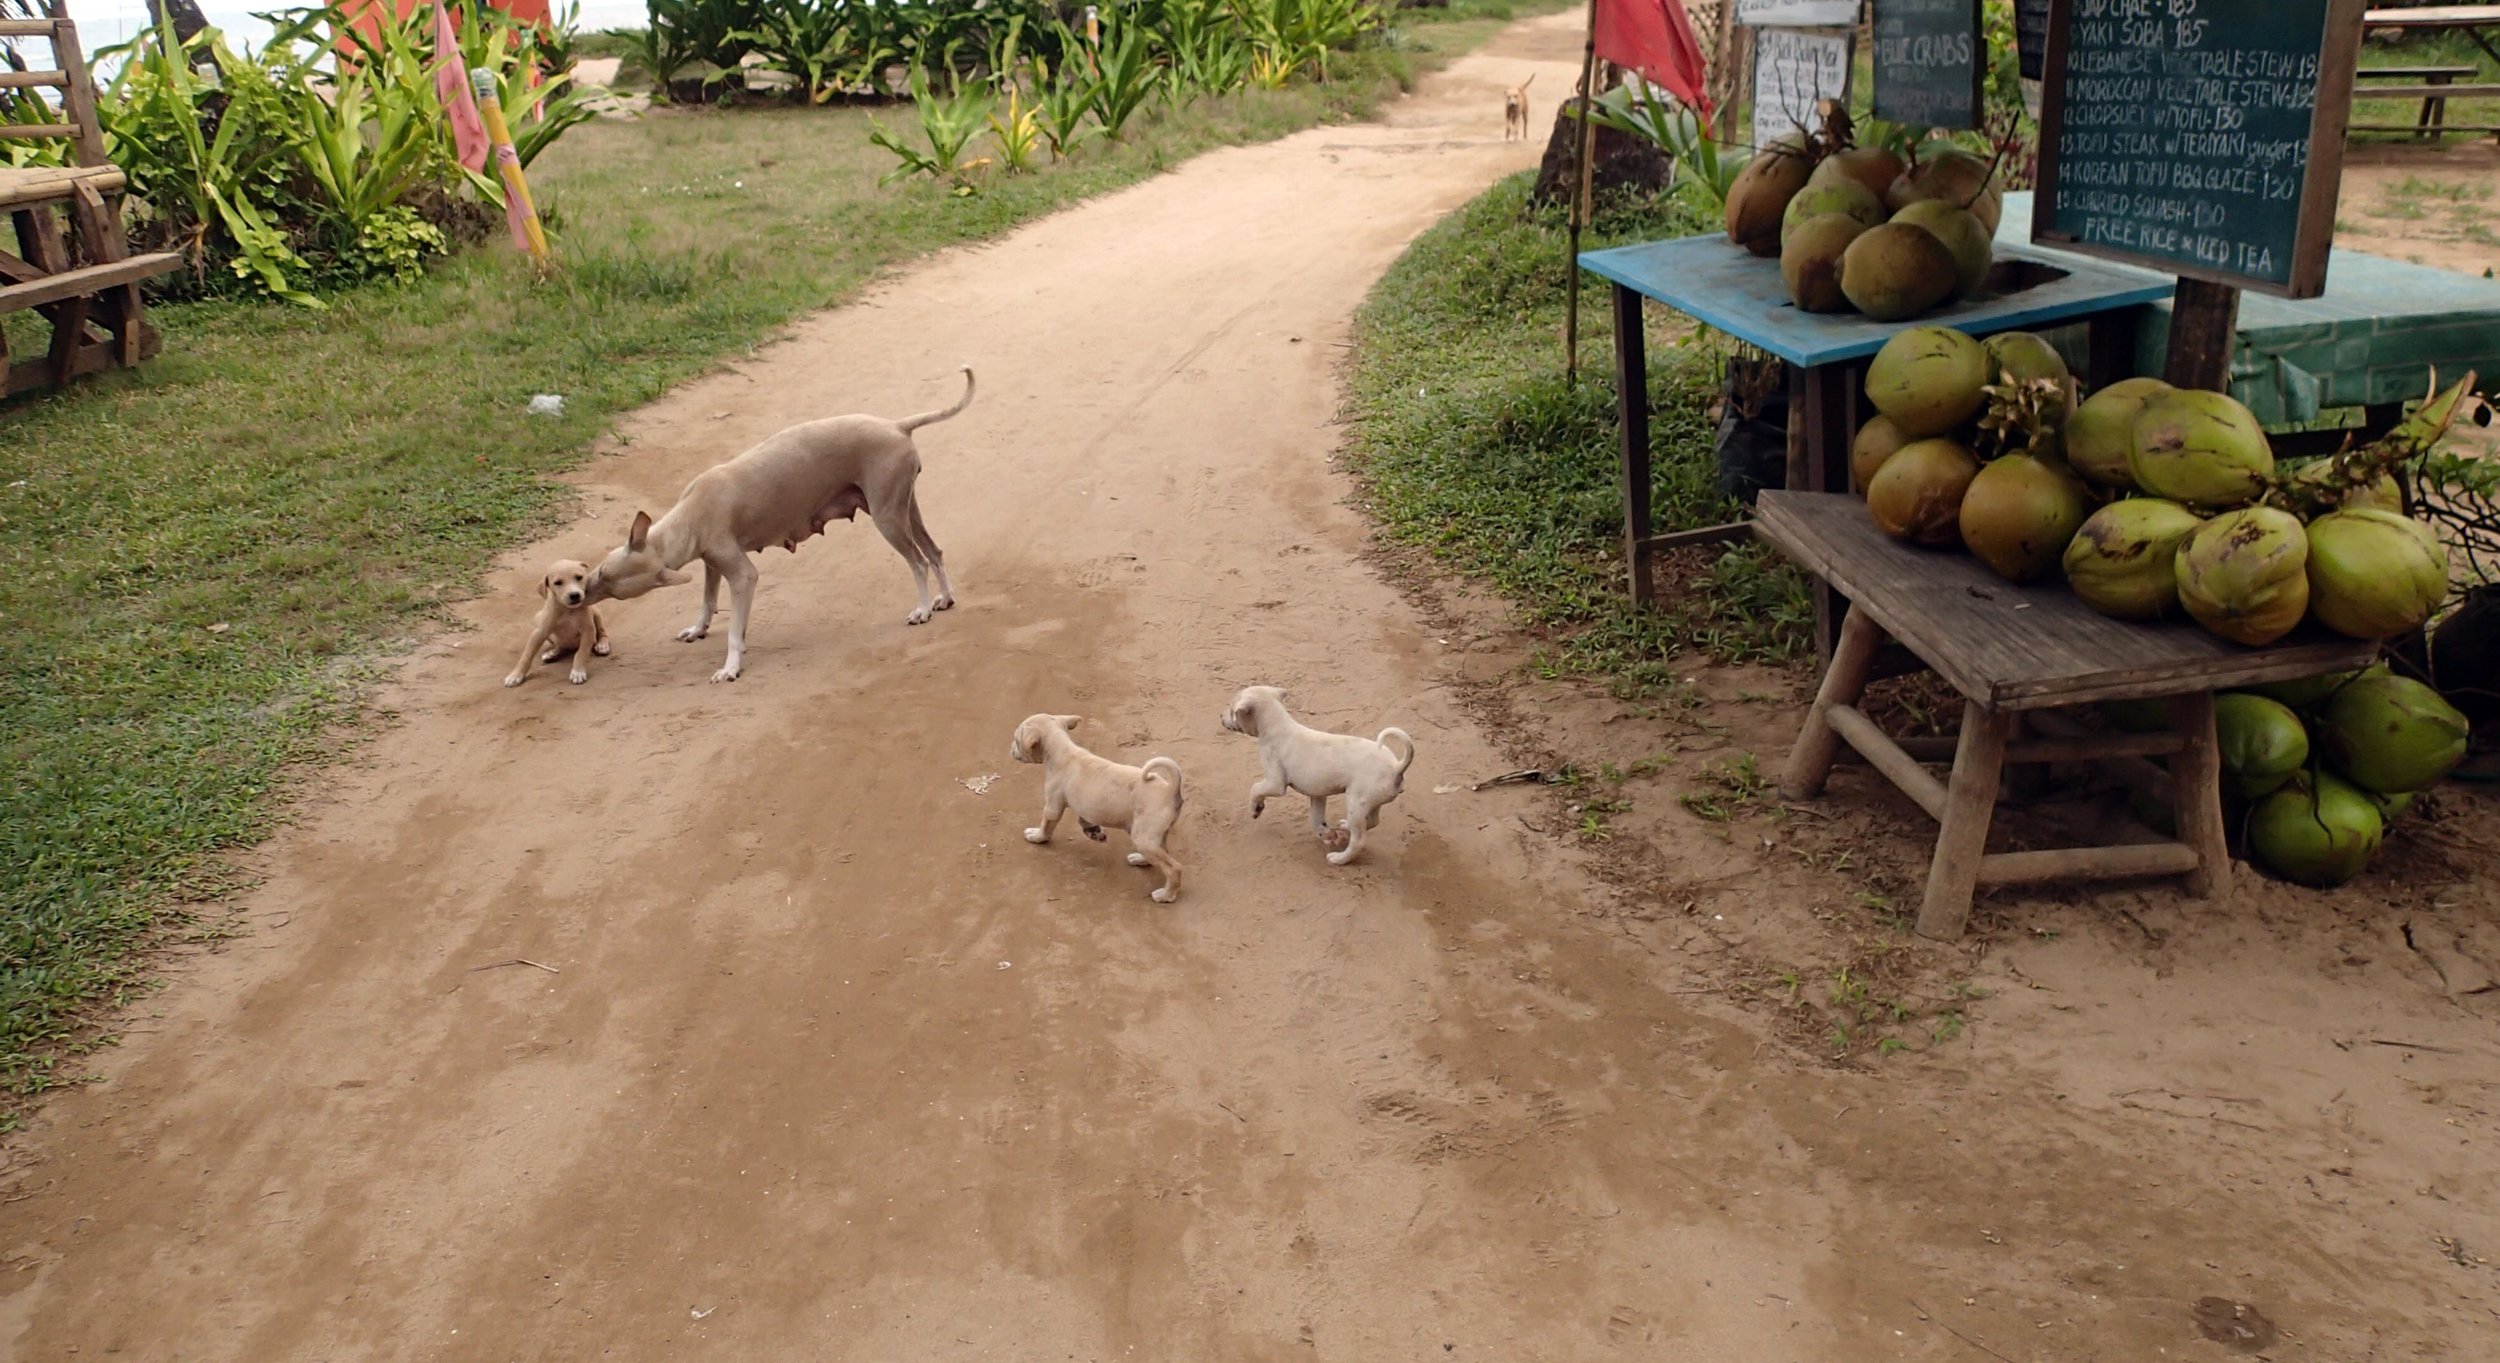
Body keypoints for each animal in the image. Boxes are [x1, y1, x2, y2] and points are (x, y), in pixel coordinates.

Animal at [502, 555, 610, 685]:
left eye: (579, 577)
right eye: (558, 583)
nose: (575, 595)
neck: (567, 609)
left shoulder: (588, 631)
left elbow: (581, 653)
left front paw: (578, 672)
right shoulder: (539, 631)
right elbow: (526, 655)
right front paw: (515, 675)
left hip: (596, 613)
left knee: (602, 632)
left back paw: (602, 645)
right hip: (538, 618)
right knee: (560, 645)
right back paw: (552, 654)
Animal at [587, 367, 975, 680]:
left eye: (607, 579)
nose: (579, 594)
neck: (688, 514)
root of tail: (897, 425)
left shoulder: (742, 573)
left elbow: (734, 629)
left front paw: (731, 667)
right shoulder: (713, 564)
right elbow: (708, 602)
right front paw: (699, 629)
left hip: (888, 518)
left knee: (919, 561)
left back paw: (923, 609)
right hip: (905, 509)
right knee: (934, 552)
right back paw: (944, 598)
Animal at [1000, 710, 1185, 905]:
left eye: (1016, 739)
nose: (1010, 749)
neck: (1063, 752)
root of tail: (1170, 790)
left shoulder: (1052, 805)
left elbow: (1046, 825)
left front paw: (1036, 836)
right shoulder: (1086, 807)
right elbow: (1084, 821)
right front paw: (1094, 832)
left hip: (1144, 838)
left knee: (1174, 868)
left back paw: (1166, 895)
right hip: (1153, 836)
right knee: (1162, 854)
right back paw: (1140, 859)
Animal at [1220, 685, 1420, 865]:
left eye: (1231, 709)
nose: (1220, 716)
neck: (1276, 725)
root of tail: (1396, 766)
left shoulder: (1275, 783)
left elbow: (1255, 788)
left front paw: (1256, 808)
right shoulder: (1317, 794)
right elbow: (1316, 818)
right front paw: (1326, 834)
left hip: (1356, 801)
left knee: (1359, 841)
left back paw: (1339, 859)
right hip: (1369, 802)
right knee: (1372, 821)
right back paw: (1345, 826)